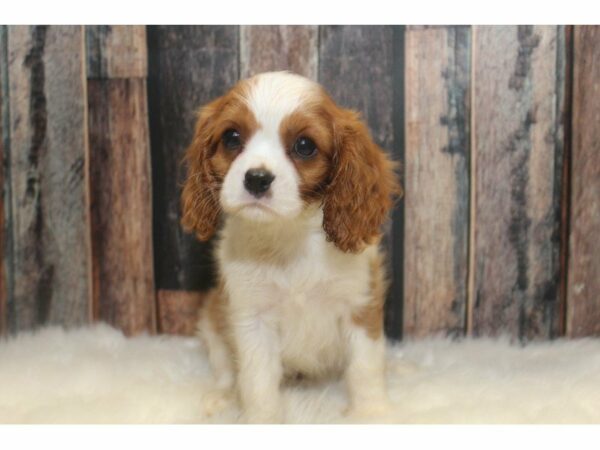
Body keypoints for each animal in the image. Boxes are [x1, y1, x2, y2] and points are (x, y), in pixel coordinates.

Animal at [180, 71, 400, 422]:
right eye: (231, 137)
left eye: (304, 146)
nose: (256, 178)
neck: (289, 236)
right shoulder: (251, 318)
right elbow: (257, 382)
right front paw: (261, 421)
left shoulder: (359, 306)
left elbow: (365, 367)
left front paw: (372, 413)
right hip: (212, 320)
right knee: (226, 370)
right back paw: (222, 397)